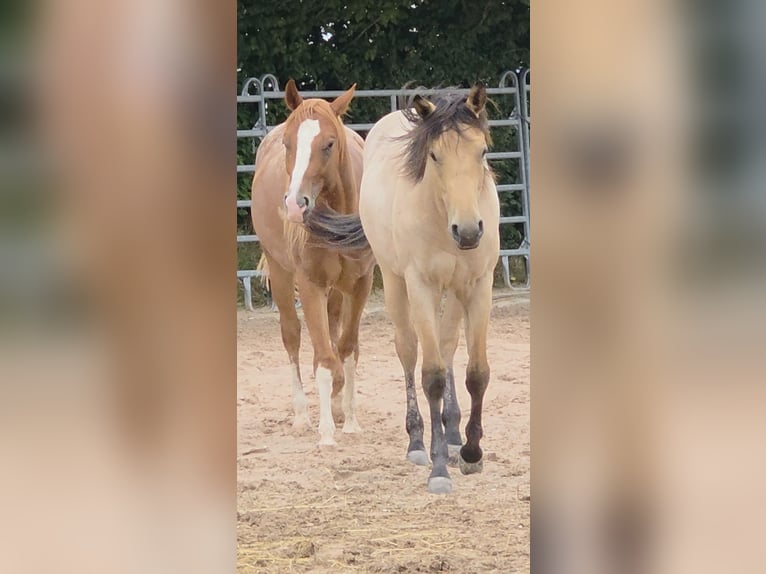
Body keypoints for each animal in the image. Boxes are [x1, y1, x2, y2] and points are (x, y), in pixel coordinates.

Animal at [250, 80, 375, 446]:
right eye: (289, 143)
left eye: (329, 144)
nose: (294, 204)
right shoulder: (309, 284)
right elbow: (322, 356)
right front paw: (326, 432)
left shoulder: (361, 284)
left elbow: (346, 349)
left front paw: (350, 420)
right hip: (280, 274)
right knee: (292, 337)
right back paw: (303, 415)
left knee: (333, 332)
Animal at [359, 84, 500, 493]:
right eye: (434, 155)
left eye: (482, 151)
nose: (467, 231)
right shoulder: (420, 286)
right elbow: (432, 376)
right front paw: (439, 468)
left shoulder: (479, 285)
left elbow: (476, 372)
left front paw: (470, 453)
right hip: (395, 283)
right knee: (409, 351)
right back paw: (419, 442)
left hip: (453, 291)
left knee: (449, 344)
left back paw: (451, 436)